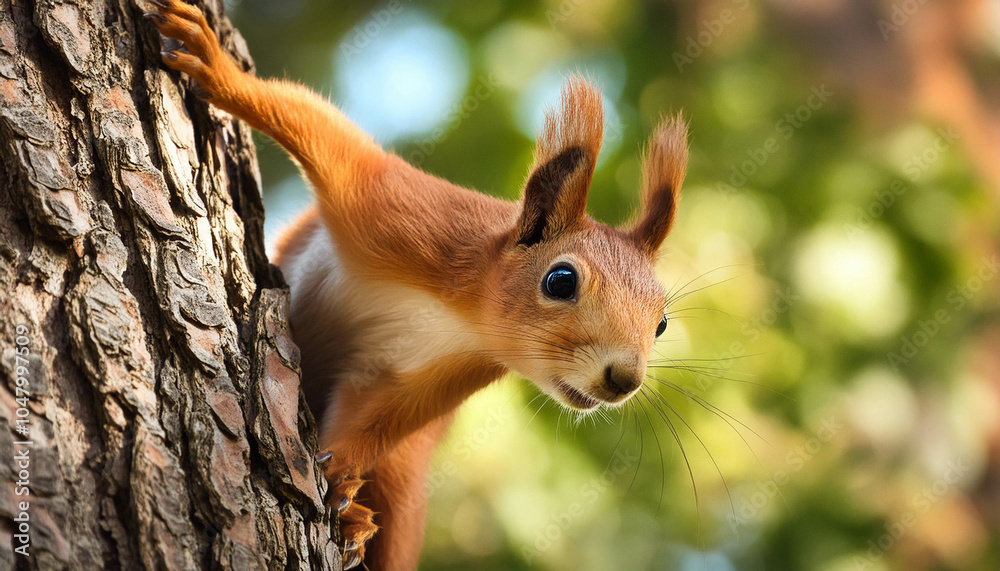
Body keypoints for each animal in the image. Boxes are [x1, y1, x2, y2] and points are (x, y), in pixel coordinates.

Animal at [149, 1, 688, 569]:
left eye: (662, 323)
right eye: (560, 280)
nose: (624, 379)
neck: (463, 314)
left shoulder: (437, 374)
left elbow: (378, 422)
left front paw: (339, 483)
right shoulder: (397, 209)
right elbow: (313, 124)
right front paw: (217, 68)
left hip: (404, 478)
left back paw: (359, 522)